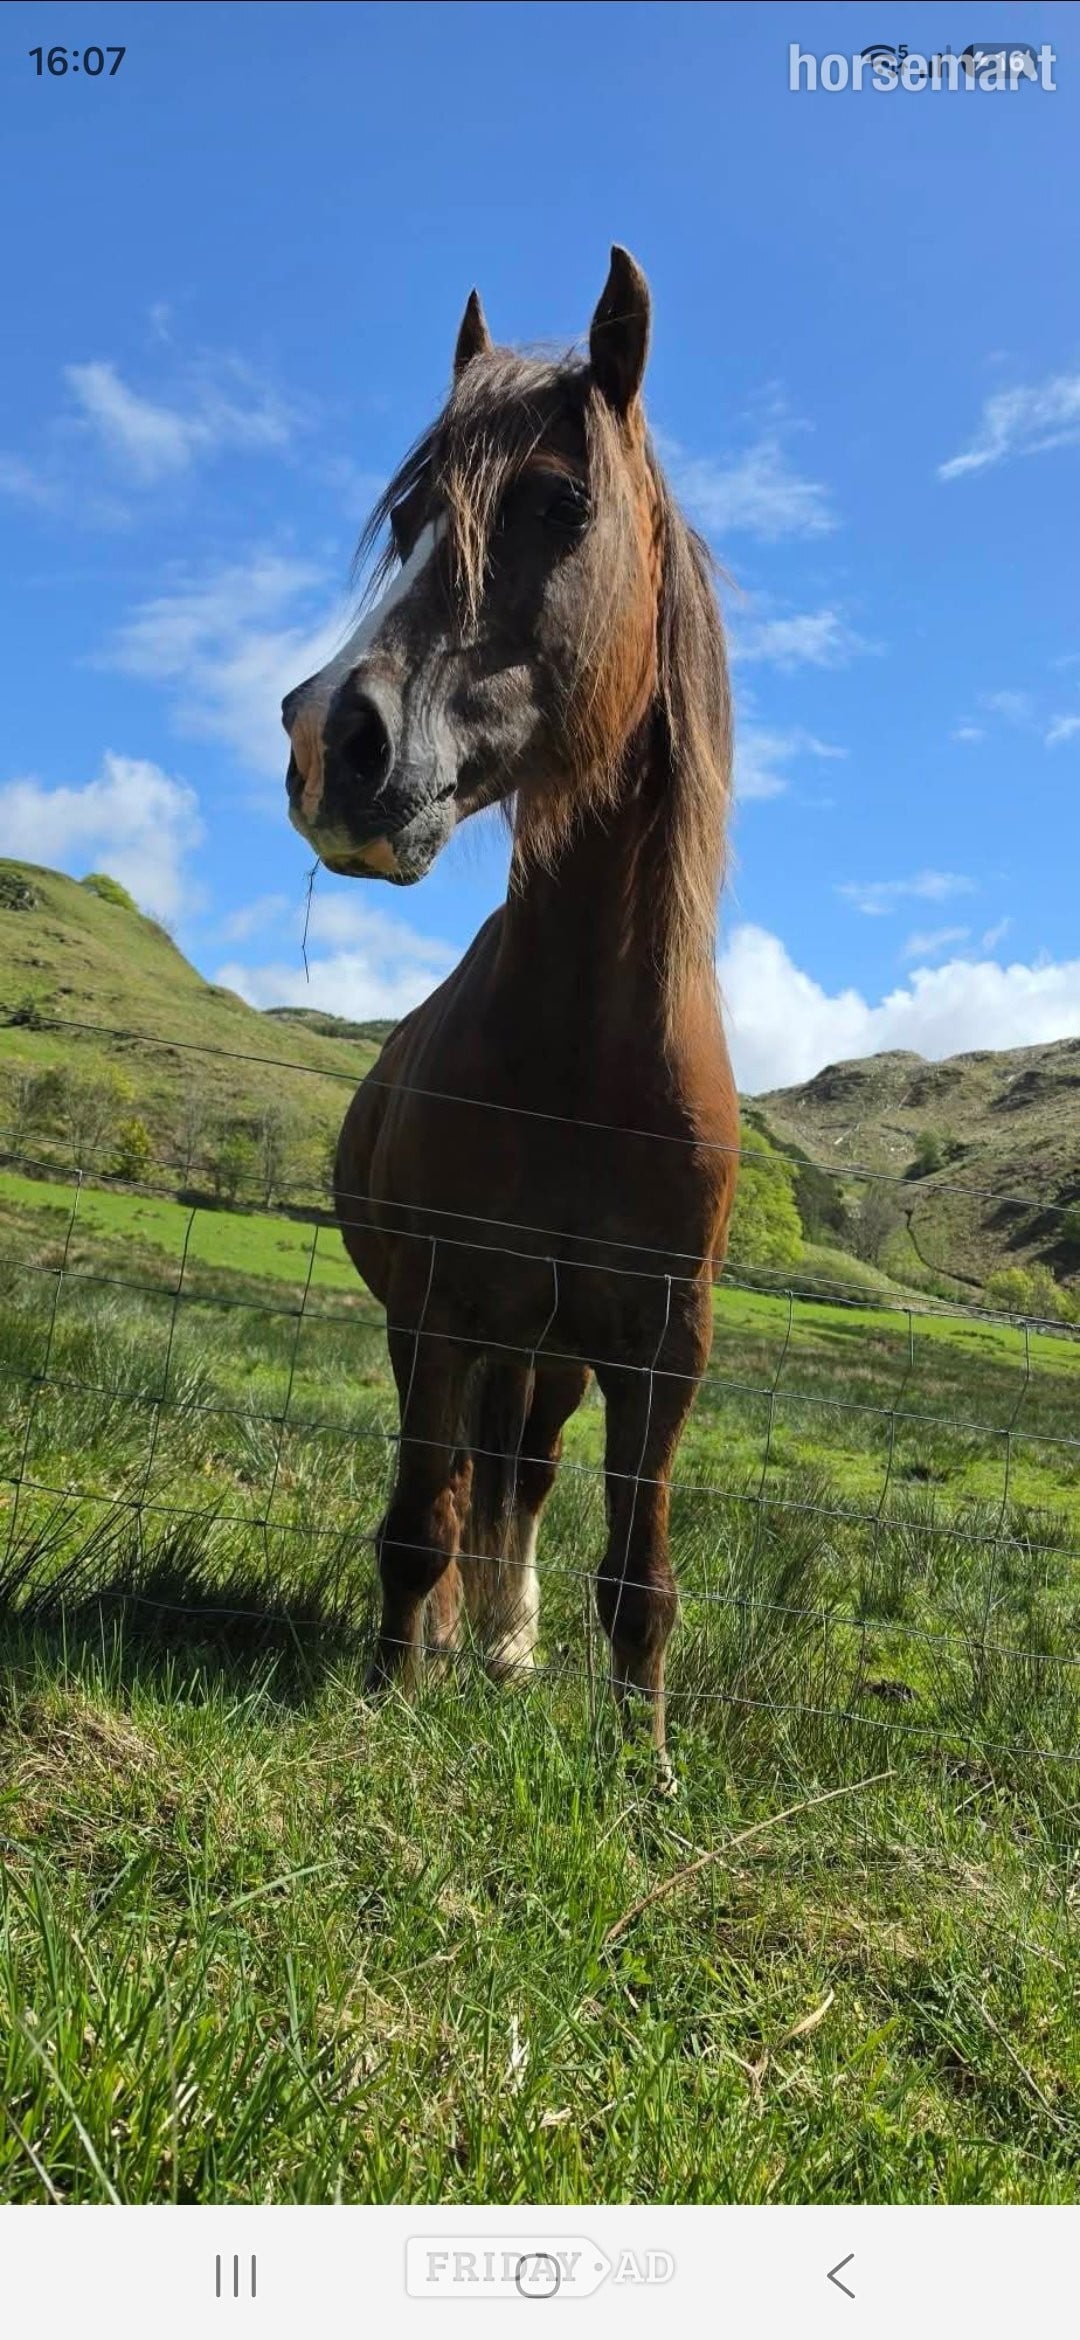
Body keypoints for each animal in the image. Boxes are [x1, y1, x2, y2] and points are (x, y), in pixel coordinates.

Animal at [282, 248, 739, 1790]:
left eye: (562, 505)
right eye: (414, 518)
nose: (331, 741)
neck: (584, 1061)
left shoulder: (660, 1345)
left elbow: (640, 1576)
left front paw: (647, 1774)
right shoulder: (439, 1307)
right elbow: (420, 1517)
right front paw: (383, 1697)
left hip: (556, 1355)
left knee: (523, 1475)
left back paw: (505, 1644)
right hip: (477, 1335)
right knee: (471, 1483)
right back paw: (453, 1645)